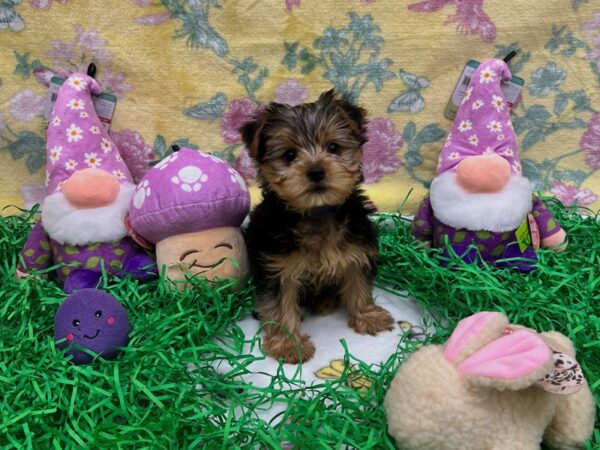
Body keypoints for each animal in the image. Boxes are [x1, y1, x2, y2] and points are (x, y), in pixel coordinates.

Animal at [241, 89, 396, 364]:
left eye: (333, 147)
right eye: (289, 155)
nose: (315, 171)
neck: (318, 212)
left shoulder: (357, 250)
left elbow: (359, 283)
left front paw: (368, 316)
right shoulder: (276, 268)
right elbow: (280, 308)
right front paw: (288, 345)